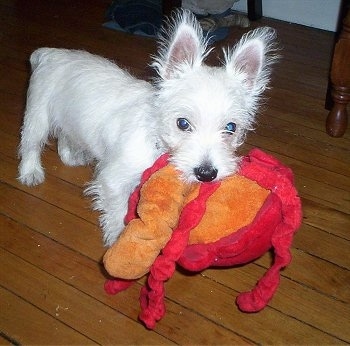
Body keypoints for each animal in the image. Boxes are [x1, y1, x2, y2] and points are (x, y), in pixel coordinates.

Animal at [17, 9, 278, 245]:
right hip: (37, 115)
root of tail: (50, 53)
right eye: (182, 123)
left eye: (231, 127)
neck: (157, 141)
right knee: (30, 144)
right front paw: (118, 239)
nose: (206, 174)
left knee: (65, 136)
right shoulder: (113, 180)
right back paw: (30, 173)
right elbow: (118, 212)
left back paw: (71, 157)